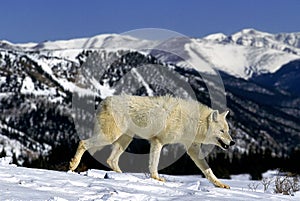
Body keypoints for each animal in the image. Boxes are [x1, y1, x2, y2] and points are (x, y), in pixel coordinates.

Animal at [69, 95, 234, 188]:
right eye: (222, 131)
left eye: (228, 130)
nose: (232, 143)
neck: (192, 121)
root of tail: (104, 100)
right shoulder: (157, 141)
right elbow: (154, 164)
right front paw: (157, 179)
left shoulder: (192, 149)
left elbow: (208, 171)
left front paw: (221, 185)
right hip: (110, 137)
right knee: (83, 142)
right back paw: (73, 165)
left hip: (124, 139)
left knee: (111, 160)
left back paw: (124, 176)